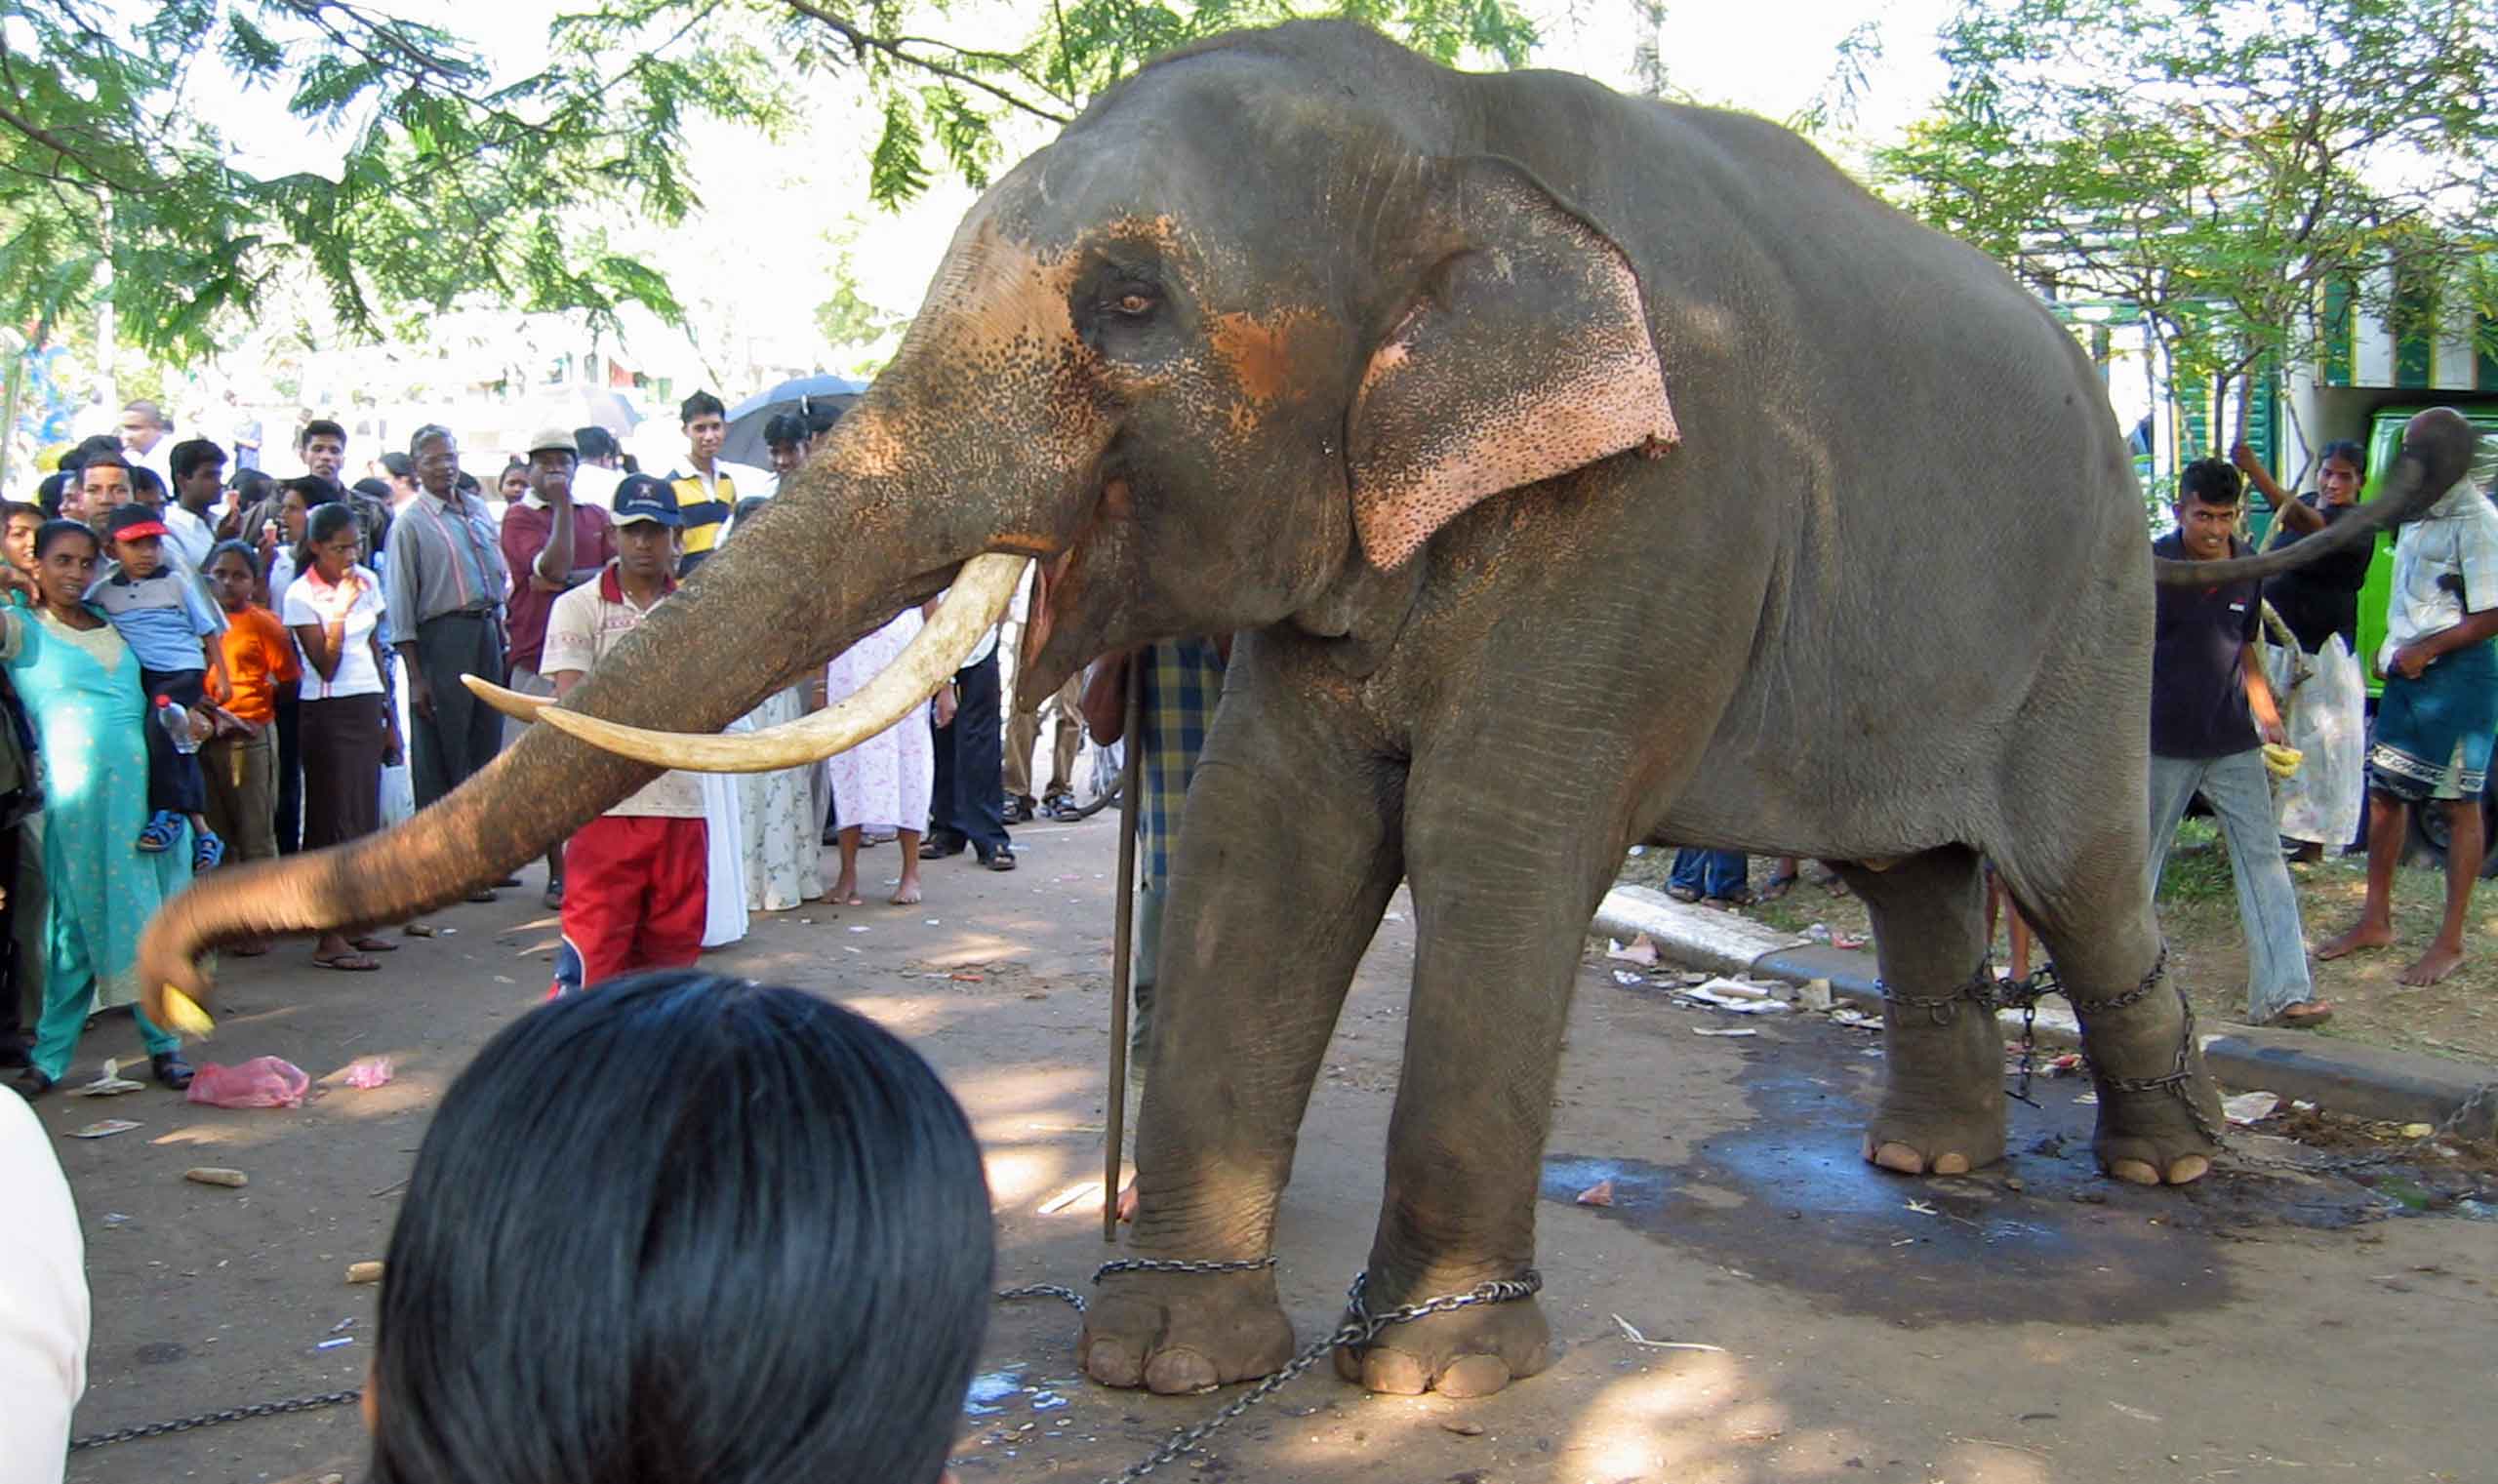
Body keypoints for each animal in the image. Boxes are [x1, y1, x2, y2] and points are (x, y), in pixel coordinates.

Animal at [141, 21, 2477, 1404]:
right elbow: (1272, 834)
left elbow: (1492, 848)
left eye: (1129, 304)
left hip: (2077, 606)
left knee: (2071, 876)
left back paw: (2160, 1170)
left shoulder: (1650, 505)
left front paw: (1431, 1379)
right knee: (1915, 871)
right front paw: (1166, 1357)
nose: (169, 995)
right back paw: (1927, 1161)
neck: (1462, 129)